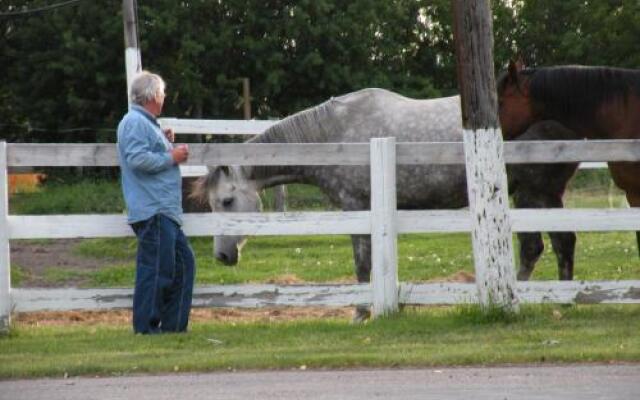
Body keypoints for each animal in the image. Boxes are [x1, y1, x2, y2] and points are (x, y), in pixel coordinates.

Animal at [192, 90, 576, 318]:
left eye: (227, 200)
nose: (222, 255)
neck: (334, 137)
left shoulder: (356, 208)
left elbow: (363, 268)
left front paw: (361, 312)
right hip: (537, 197)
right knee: (556, 245)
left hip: (533, 193)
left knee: (540, 247)